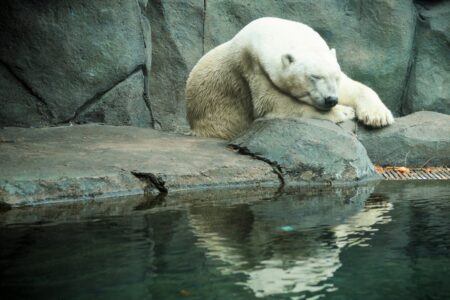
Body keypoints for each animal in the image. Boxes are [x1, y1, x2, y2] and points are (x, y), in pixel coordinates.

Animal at [186, 17, 394, 141]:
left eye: (335, 77)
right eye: (314, 76)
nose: (331, 100)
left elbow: (352, 87)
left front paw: (378, 116)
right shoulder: (253, 65)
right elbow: (273, 104)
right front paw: (344, 111)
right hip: (214, 120)